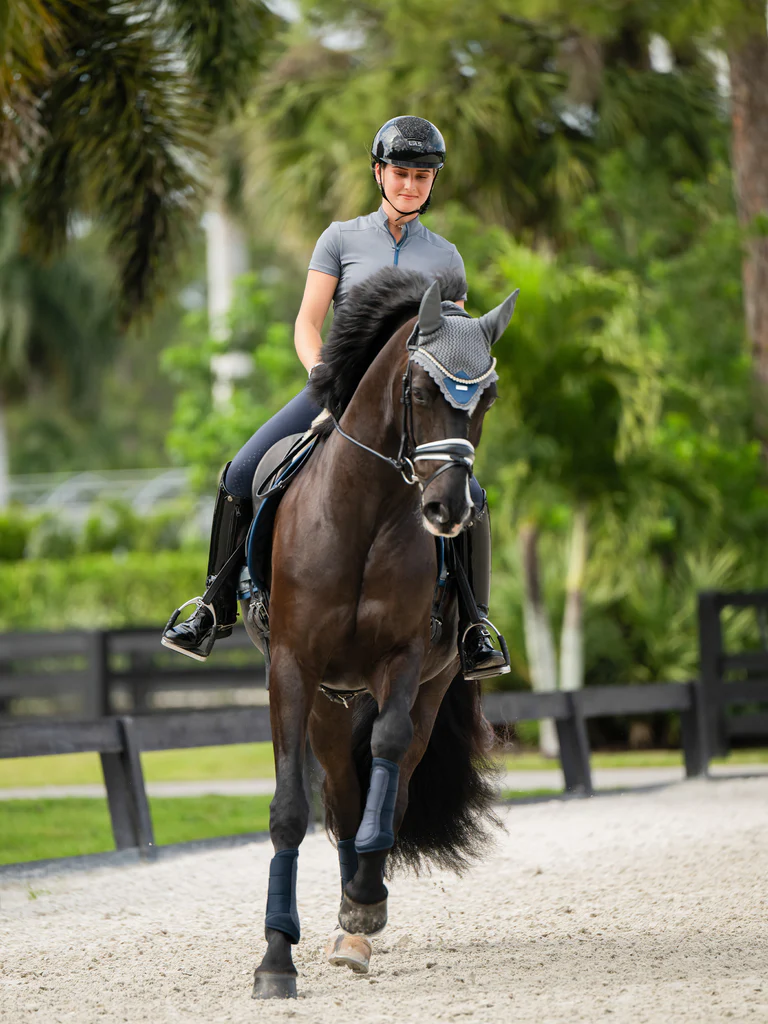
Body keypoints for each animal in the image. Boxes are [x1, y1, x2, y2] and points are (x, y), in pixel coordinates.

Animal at [244, 270, 524, 999]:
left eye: (486, 397)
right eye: (421, 390)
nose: (448, 510)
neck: (366, 509)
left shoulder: (403, 661)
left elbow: (388, 765)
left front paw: (366, 904)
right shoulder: (291, 668)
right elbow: (290, 808)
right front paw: (275, 960)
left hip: (425, 687)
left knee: (385, 791)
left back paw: (358, 916)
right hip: (327, 703)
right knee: (344, 797)